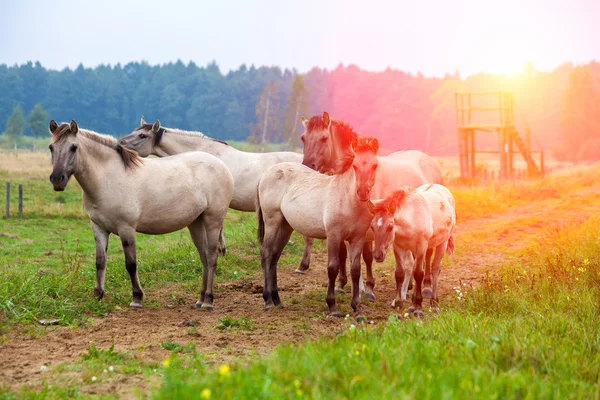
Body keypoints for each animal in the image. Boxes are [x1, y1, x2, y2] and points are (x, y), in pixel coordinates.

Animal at [47, 120, 233, 310]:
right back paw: (200, 299)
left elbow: (131, 264)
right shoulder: (98, 227)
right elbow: (100, 262)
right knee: (203, 257)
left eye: (74, 147)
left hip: (213, 221)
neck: (108, 178)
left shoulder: (126, 229)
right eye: (51, 147)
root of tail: (221, 165)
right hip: (196, 223)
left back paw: (208, 300)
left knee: (211, 257)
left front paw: (136, 297)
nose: (57, 180)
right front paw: (97, 295)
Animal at [256, 136, 380, 320]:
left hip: (286, 227)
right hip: (272, 221)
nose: (363, 192)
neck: (348, 200)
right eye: (355, 166)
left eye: (375, 165)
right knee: (266, 253)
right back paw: (268, 301)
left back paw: (277, 300)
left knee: (274, 256)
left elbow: (356, 270)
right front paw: (332, 306)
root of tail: (266, 173)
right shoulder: (334, 236)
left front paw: (357, 309)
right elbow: (333, 268)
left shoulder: (358, 239)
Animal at [368, 183, 458, 318]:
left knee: (435, 268)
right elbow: (399, 273)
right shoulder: (398, 247)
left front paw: (418, 308)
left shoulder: (421, 247)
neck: (411, 219)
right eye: (372, 226)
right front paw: (398, 303)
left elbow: (418, 273)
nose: (378, 255)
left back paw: (434, 303)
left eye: (390, 226)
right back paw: (411, 305)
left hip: (443, 242)